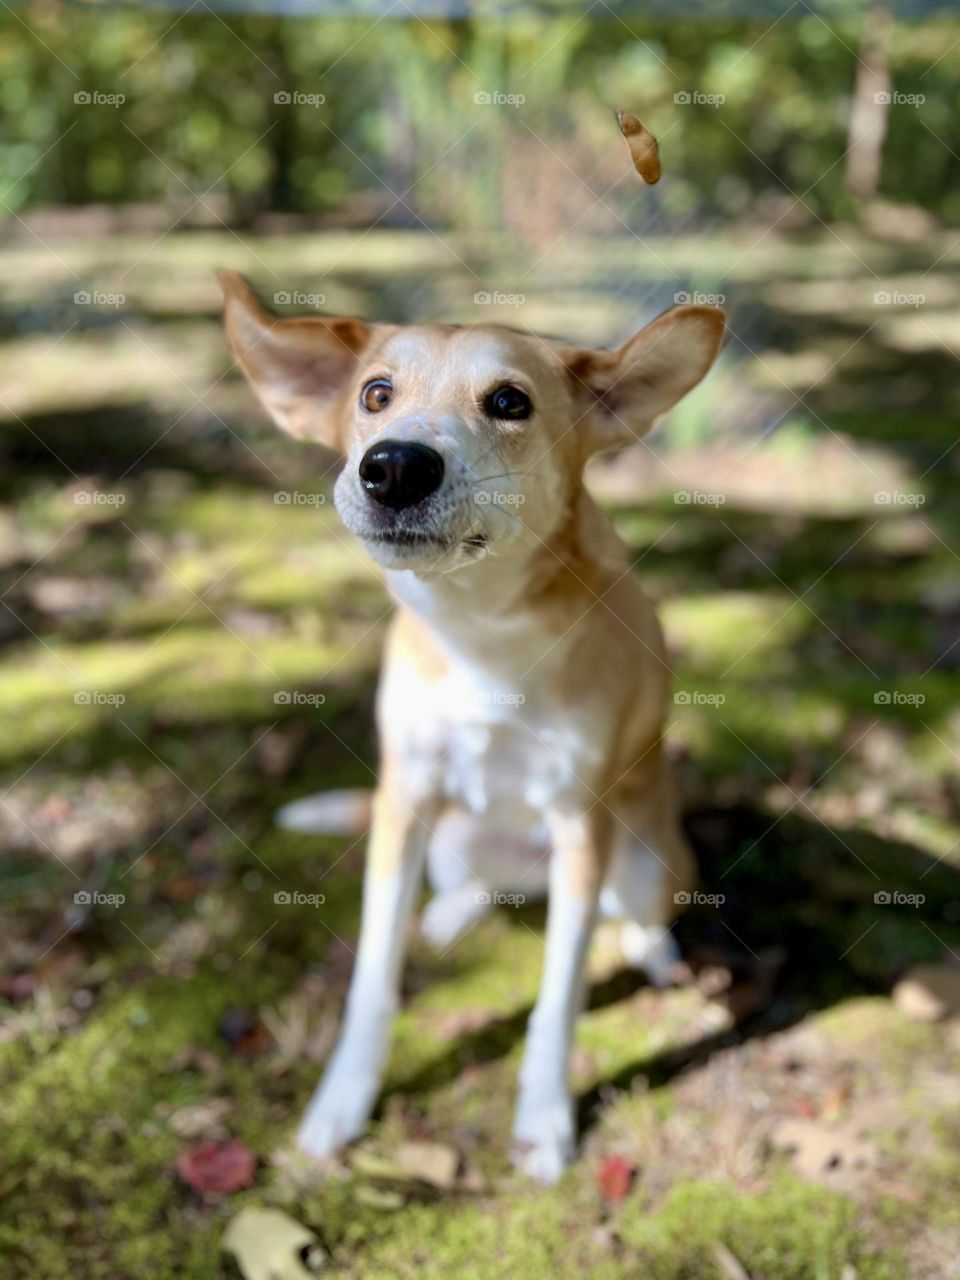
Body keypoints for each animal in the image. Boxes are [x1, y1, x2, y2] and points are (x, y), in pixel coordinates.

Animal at [221, 275, 727, 1182]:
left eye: (509, 401)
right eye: (375, 394)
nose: (394, 466)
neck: (480, 630)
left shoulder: (581, 825)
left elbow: (558, 1001)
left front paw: (545, 1122)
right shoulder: (406, 799)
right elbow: (373, 982)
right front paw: (341, 1107)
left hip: (639, 861)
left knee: (633, 913)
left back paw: (653, 950)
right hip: (452, 838)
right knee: (477, 884)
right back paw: (454, 912)